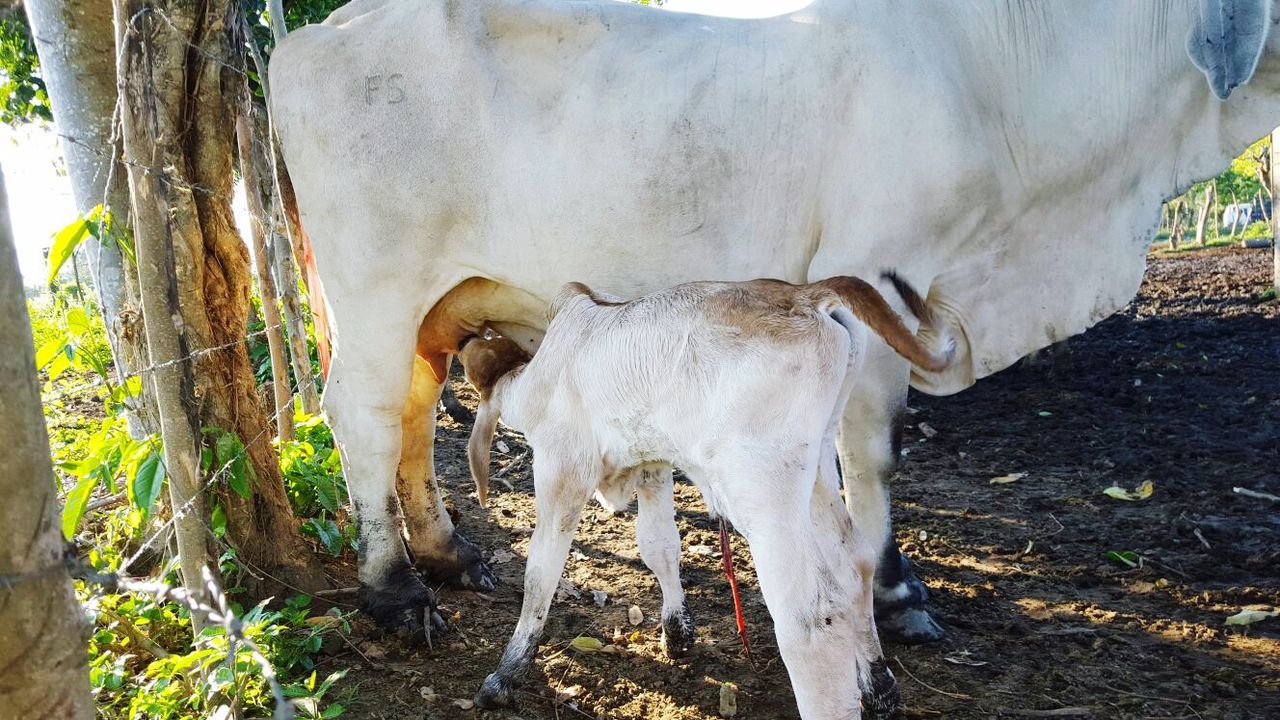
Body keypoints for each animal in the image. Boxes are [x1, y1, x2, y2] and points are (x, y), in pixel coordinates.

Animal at [270, 0, 1280, 638]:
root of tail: (317, 34)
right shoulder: (880, 279)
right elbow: (874, 450)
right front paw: (896, 592)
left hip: (431, 306)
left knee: (411, 413)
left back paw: (447, 554)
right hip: (377, 285)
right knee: (363, 416)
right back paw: (395, 590)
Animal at [465, 274, 957, 717]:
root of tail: (806, 294)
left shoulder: (561, 466)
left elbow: (540, 571)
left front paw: (505, 675)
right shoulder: (654, 462)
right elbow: (659, 547)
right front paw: (677, 633)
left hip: (762, 489)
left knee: (810, 619)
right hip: (816, 468)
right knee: (856, 563)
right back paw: (879, 686)